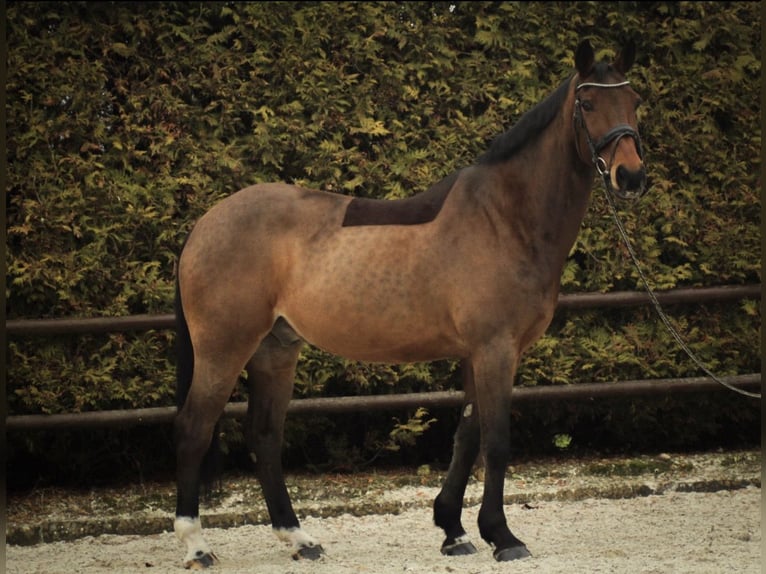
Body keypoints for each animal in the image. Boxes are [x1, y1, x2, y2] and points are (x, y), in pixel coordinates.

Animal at [172, 38, 646, 569]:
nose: (630, 176)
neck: (505, 218)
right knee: (194, 428)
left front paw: (453, 531)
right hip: (224, 347)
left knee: (265, 437)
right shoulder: (495, 349)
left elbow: (467, 437)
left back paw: (300, 539)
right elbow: (496, 441)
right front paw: (502, 536)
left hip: (275, 348)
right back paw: (196, 546)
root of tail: (205, 224)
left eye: (633, 102)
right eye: (588, 104)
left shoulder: (477, 353)